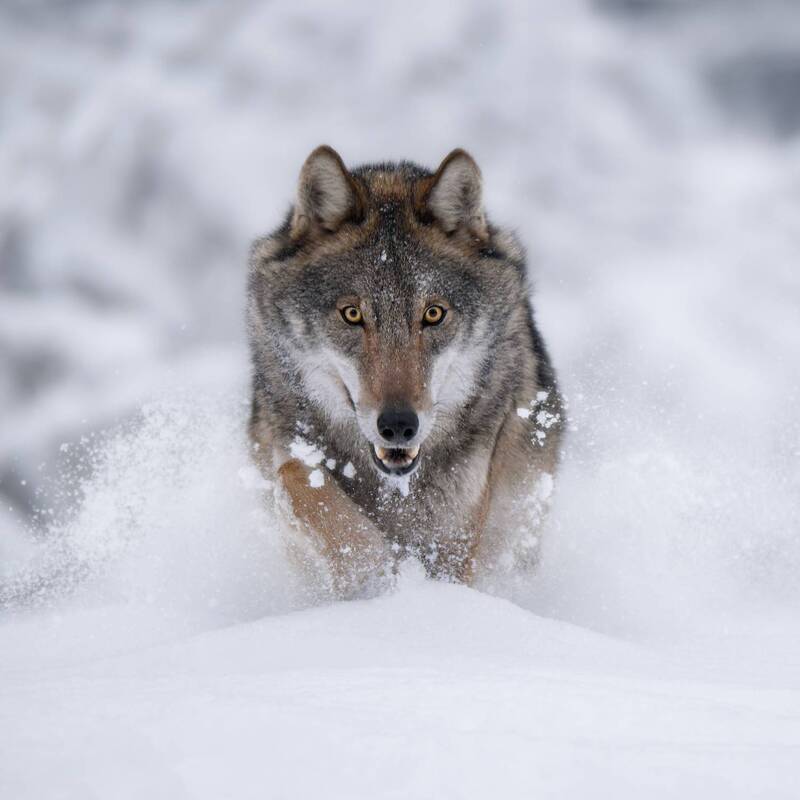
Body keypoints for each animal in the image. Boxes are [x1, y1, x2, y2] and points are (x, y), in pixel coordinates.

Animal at [248, 146, 563, 598]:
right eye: (352, 314)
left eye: (433, 314)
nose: (398, 425)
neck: (396, 490)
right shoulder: (287, 456)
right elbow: (293, 477)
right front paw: (371, 570)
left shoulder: (455, 545)